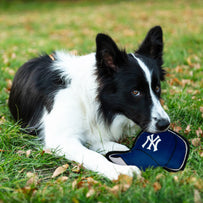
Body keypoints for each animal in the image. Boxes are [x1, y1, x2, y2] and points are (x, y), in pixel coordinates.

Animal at [8, 25, 170, 179]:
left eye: (157, 88)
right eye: (135, 92)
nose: (165, 124)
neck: (87, 100)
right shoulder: (61, 139)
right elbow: (93, 156)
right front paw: (119, 171)